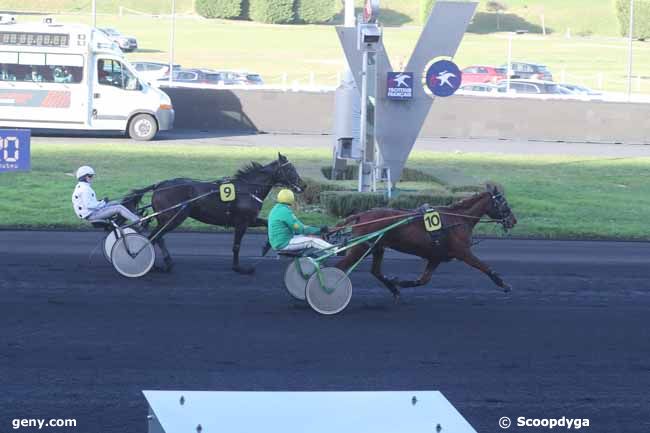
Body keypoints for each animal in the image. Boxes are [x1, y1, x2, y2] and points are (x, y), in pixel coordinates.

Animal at [124, 152, 304, 274]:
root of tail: (159, 185)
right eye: (290, 169)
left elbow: (266, 224)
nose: (303, 185)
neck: (248, 188)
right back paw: (149, 262)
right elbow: (236, 246)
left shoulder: (251, 219)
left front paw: (266, 246)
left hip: (167, 219)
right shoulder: (242, 222)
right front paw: (239, 267)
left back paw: (166, 262)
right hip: (174, 218)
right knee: (153, 237)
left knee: (157, 237)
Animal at [334, 183, 516, 300]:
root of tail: (361, 215)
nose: (513, 220)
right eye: (504, 202)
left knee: (376, 271)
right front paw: (504, 284)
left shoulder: (436, 257)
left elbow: (424, 280)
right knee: (339, 267)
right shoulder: (463, 252)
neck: (458, 219)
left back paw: (394, 289)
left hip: (377, 247)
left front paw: (400, 282)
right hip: (361, 247)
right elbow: (484, 267)